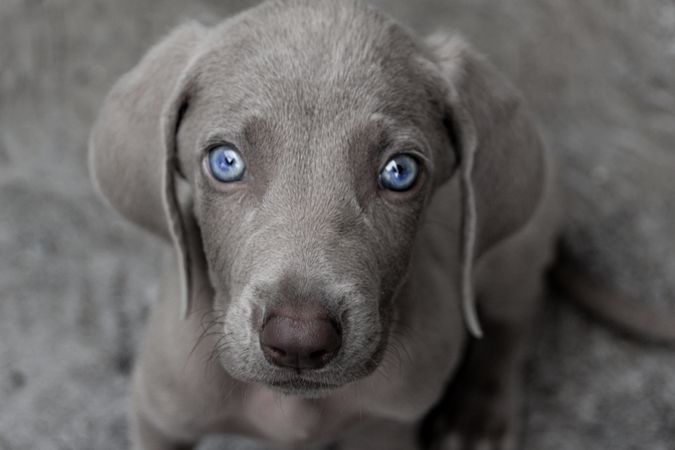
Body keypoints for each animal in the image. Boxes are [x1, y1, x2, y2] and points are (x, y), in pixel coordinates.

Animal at [88, 0, 560, 450]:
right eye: (226, 162)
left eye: (400, 171)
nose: (299, 340)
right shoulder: (159, 415)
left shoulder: (387, 429)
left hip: (517, 251)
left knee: (512, 322)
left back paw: (478, 419)